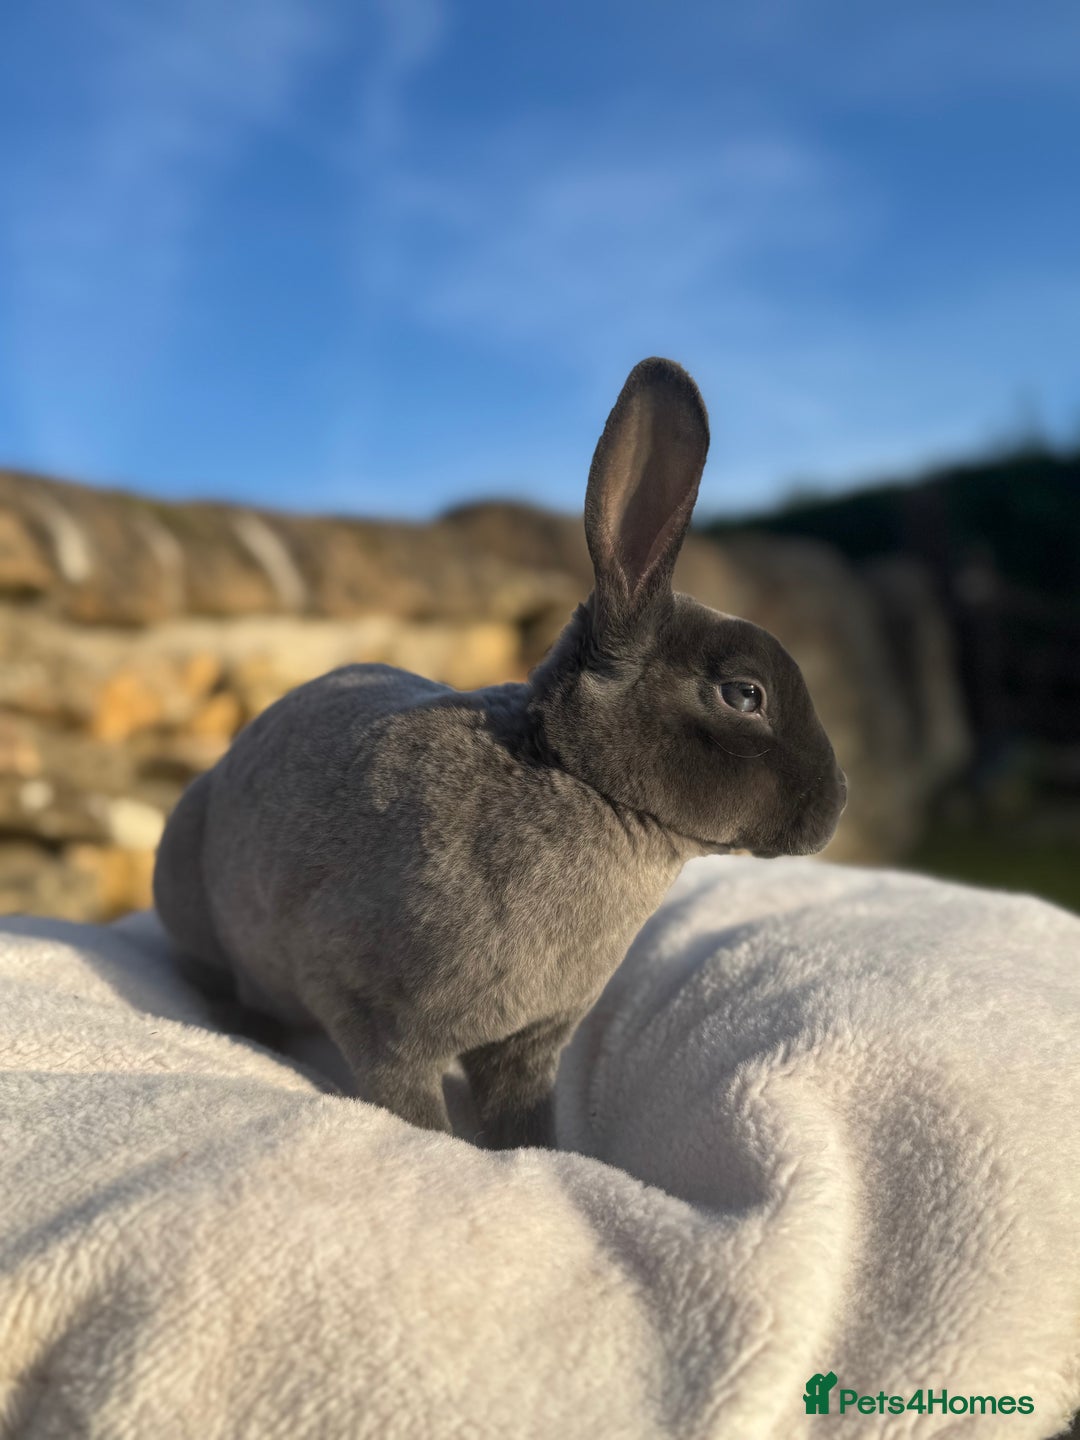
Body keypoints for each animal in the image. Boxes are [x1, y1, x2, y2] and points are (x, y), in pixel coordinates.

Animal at [153, 357, 847, 1149]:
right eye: (744, 695)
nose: (835, 804)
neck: (576, 781)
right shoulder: (373, 1017)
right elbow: (413, 1111)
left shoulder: (528, 1045)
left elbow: (524, 1120)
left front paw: (539, 1153)